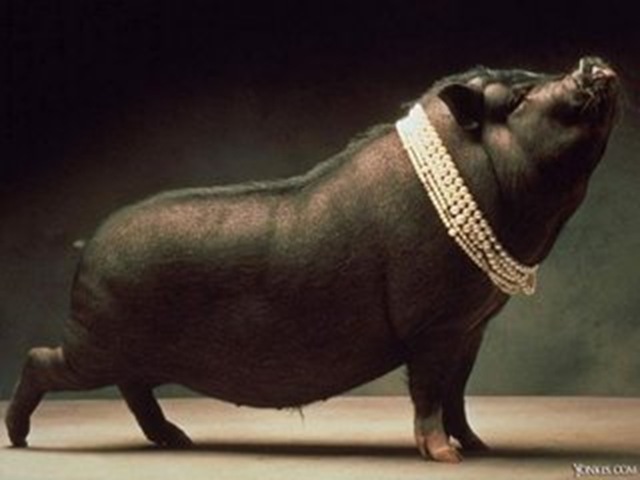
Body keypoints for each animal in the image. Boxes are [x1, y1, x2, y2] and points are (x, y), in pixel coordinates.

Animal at [5, 56, 618, 463]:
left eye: (532, 75)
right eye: (515, 101)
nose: (591, 62)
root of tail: (90, 246)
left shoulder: (470, 329)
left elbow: (457, 393)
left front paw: (478, 446)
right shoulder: (432, 328)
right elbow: (428, 390)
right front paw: (445, 456)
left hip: (126, 351)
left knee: (134, 390)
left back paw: (177, 438)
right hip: (96, 342)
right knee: (40, 358)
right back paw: (21, 439)